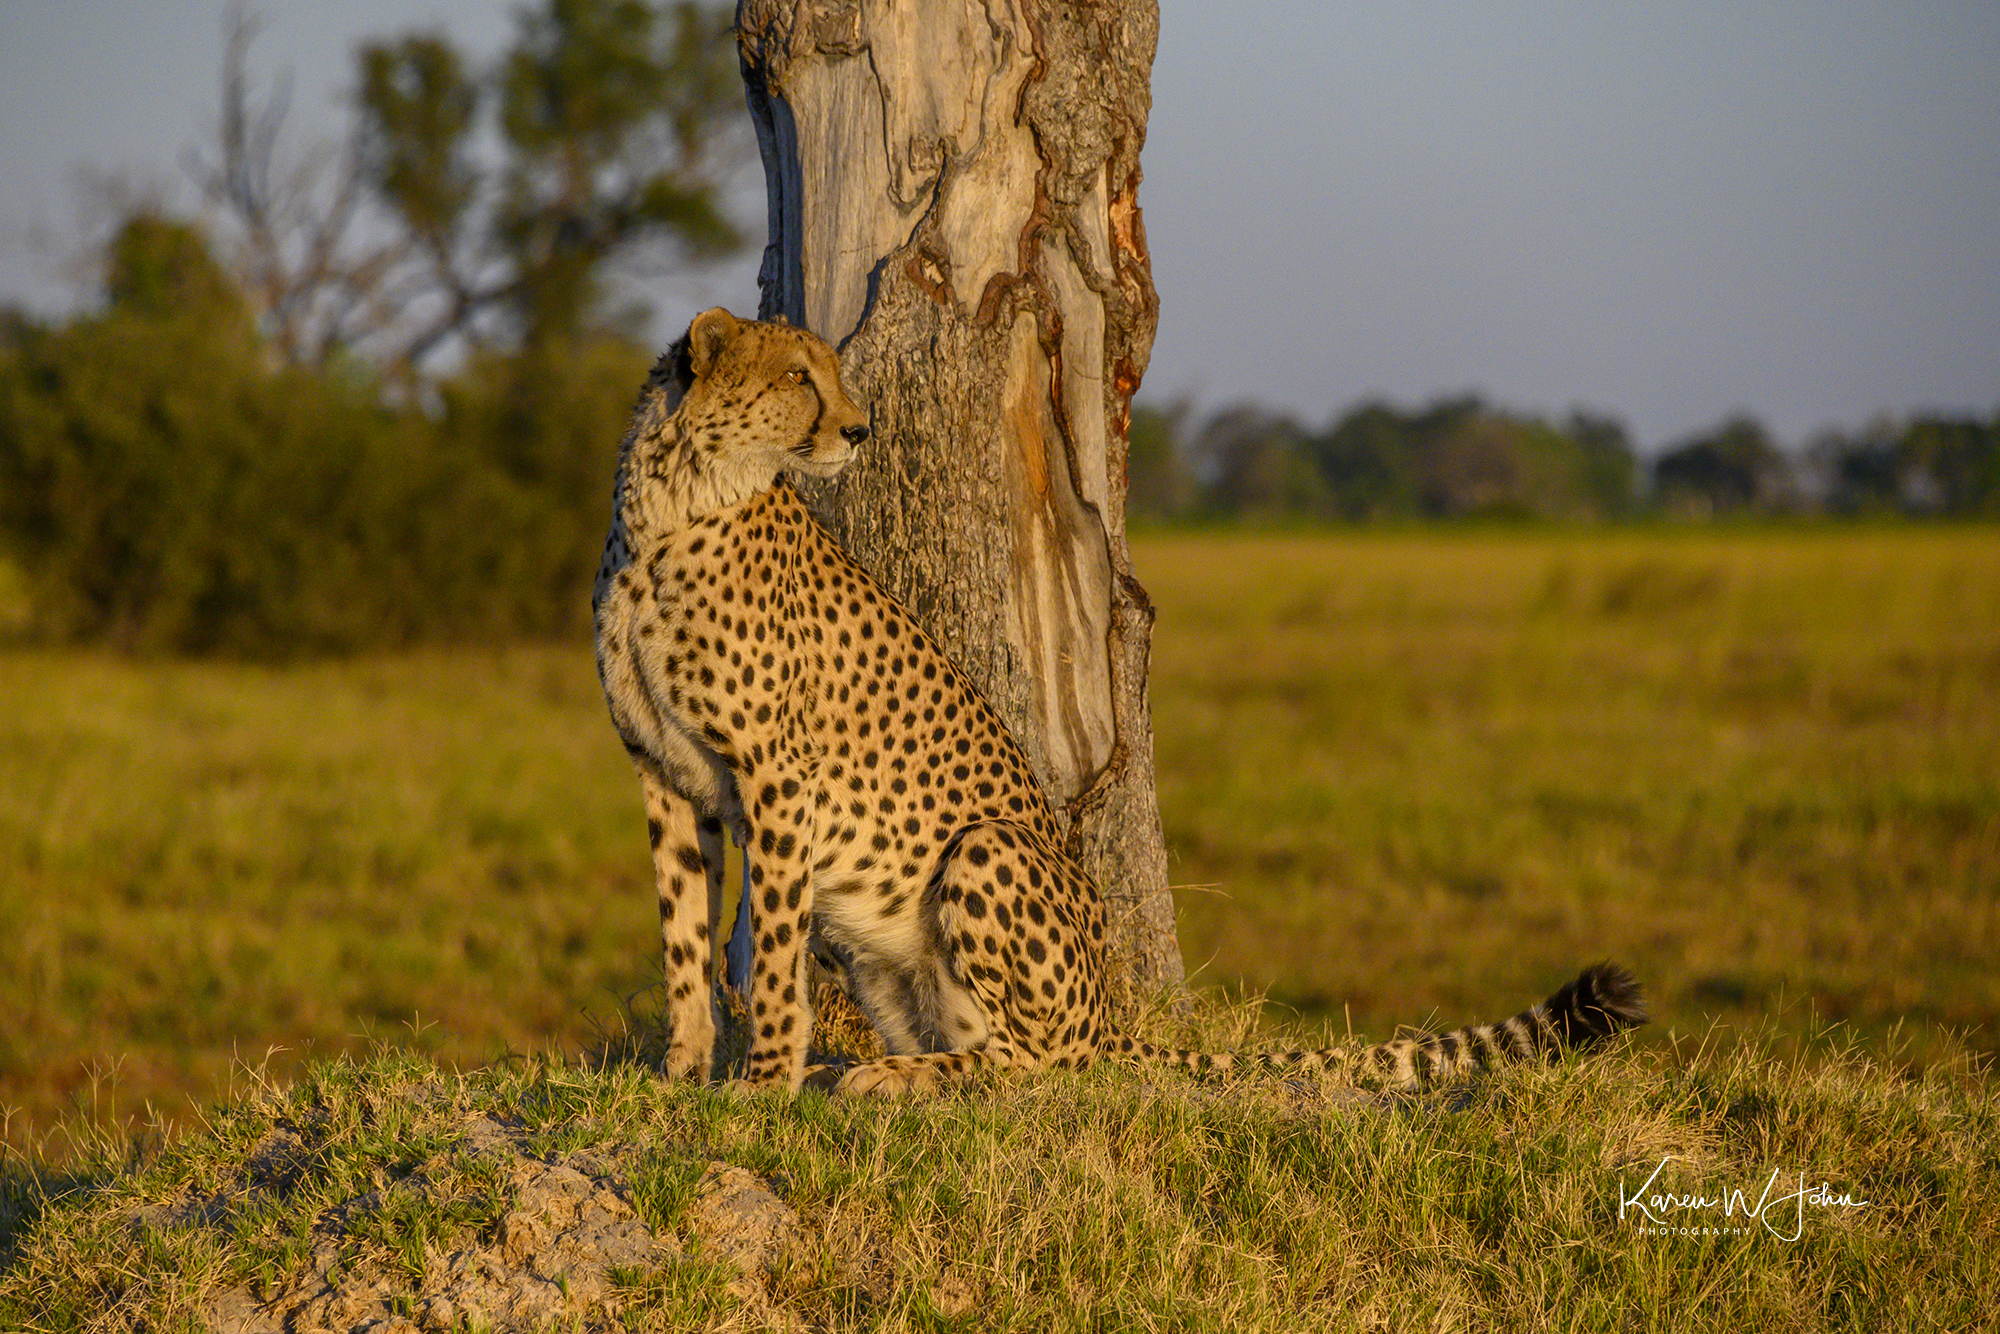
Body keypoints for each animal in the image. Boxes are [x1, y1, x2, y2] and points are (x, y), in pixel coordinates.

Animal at [593, 306, 1646, 1096]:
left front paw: (765, 1081)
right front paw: (682, 1074)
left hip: (984, 849)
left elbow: (768, 948)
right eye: (796, 377)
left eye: (831, 375)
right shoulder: (662, 774)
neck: (674, 507)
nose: (859, 431)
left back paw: (890, 1077)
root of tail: (1109, 1010)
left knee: (1037, 1063)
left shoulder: (779, 775)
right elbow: (683, 935)